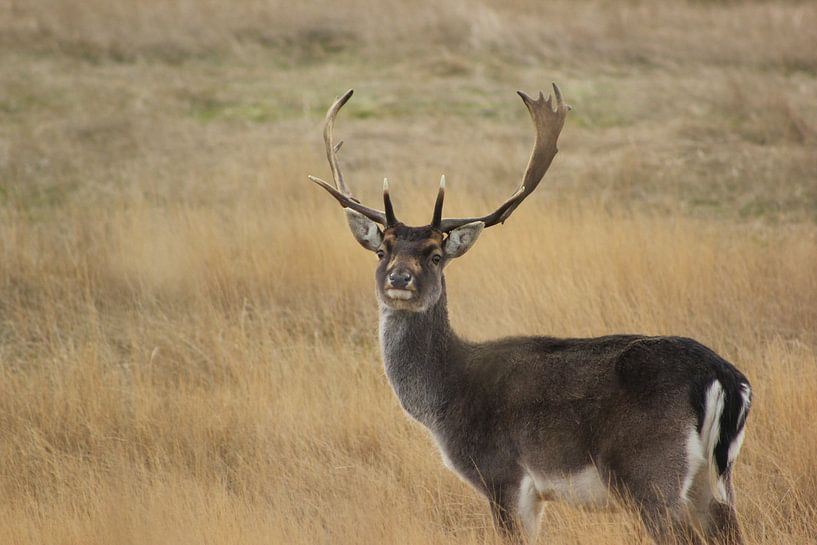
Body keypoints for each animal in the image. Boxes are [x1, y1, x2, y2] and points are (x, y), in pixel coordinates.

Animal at [306, 86, 752, 544]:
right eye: (382, 250)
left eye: (435, 255)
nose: (399, 277)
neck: (447, 398)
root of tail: (725, 378)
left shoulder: (503, 474)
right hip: (713, 479)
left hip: (648, 470)